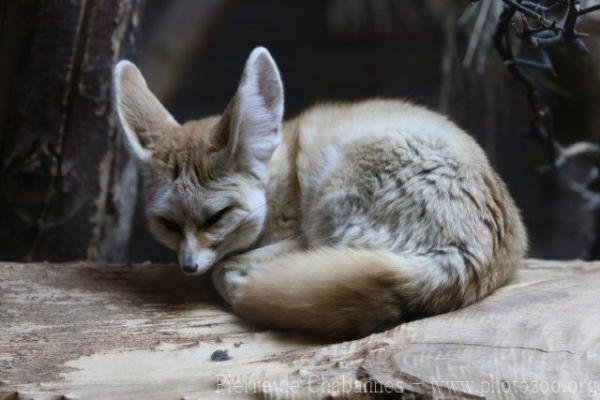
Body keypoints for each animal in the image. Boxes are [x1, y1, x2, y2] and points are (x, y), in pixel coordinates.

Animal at [112, 47, 524, 340]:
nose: (188, 266)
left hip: (332, 202)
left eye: (216, 217)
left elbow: (226, 268)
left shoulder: (299, 235)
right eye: (167, 224)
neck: (277, 180)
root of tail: (474, 255)